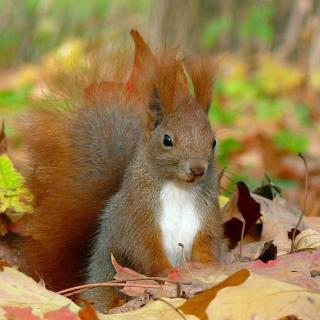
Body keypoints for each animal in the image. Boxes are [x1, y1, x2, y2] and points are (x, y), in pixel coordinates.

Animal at [18, 30, 221, 310]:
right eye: (167, 140)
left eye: (213, 142)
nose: (197, 169)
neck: (179, 189)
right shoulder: (137, 218)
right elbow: (145, 251)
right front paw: (168, 274)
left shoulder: (206, 218)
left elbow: (207, 247)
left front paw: (209, 271)